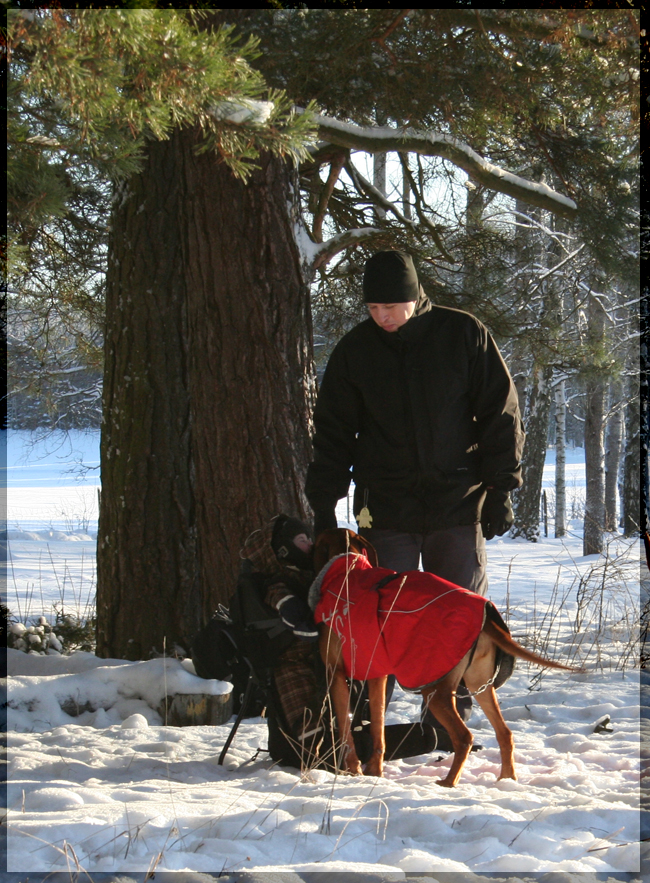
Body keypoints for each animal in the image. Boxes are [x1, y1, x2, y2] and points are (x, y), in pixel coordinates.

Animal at [312, 528, 584, 792]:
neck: (347, 570)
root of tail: (487, 618)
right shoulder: (377, 674)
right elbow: (377, 727)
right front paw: (373, 771)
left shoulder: (335, 674)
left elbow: (345, 731)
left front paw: (354, 770)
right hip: (478, 684)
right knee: (504, 733)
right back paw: (506, 779)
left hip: (436, 689)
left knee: (464, 737)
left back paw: (449, 781)